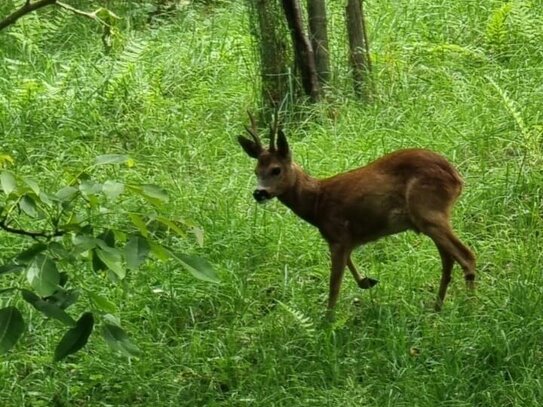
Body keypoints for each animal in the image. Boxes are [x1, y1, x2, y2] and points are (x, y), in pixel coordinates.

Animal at [238, 113, 476, 310]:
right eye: (256, 171)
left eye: (276, 170)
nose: (259, 193)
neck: (317, 203)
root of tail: (456, 177)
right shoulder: (346, 238)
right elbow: (350, 265)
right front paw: (368, 281)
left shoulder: (337, 234)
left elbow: (334, 286)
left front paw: (327, 324)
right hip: (430, 217)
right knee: (448, 260)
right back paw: (437, 307)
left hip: (428, 210)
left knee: (466, 256)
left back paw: (470, 310)